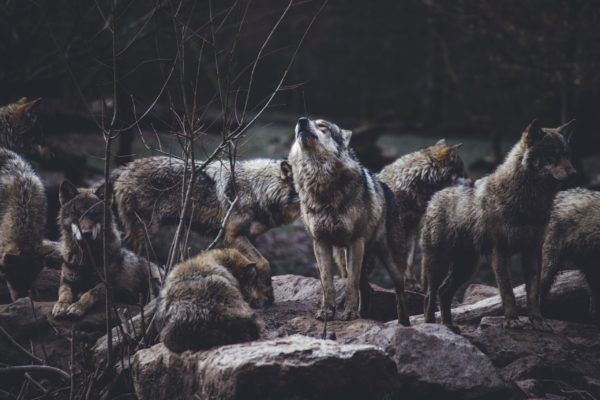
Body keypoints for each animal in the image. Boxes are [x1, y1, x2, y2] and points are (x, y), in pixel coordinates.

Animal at [51, 181, 162, 318]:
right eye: (77, 214)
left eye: (95, 214)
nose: (86, 233)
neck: (87, 257)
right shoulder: (67, 281)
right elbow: (64, 294)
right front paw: (60, 306)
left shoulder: (108, 285)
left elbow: (89, 293)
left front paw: (77, 306)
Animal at [112, 156, 300, 304]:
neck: (257, 189)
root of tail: (125, 168)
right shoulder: (233, 235)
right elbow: (263, 262)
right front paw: (267, 294)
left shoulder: (247, 237)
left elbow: (252, 267)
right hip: (146, 232)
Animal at [288, 116, 410, 324]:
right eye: (304, 121)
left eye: (323, 126)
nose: (301, 120)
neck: (321, 185)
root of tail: (387, 189)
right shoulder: (320, 242)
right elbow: (327, 283)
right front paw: (327, 312)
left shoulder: (355, 241)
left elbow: (350, 284)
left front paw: (350, 314)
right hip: (347, 257)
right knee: (367, 289)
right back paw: (364, 315)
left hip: (389, 261)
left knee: (399, 292)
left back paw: (403, 324)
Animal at [420, 119, 576, 332]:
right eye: (553, 154)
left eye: (567, 154)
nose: (574, 172)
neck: (528, 200)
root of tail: (435, 196)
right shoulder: (500, 251)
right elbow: (507, 291)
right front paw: (512, 321)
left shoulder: (533, 251)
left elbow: (533, 294)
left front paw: (538, 321)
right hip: (440, 264)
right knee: (430, 295)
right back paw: (432, 326)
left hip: (467, 267)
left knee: (444, 292)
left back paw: (449, 326)